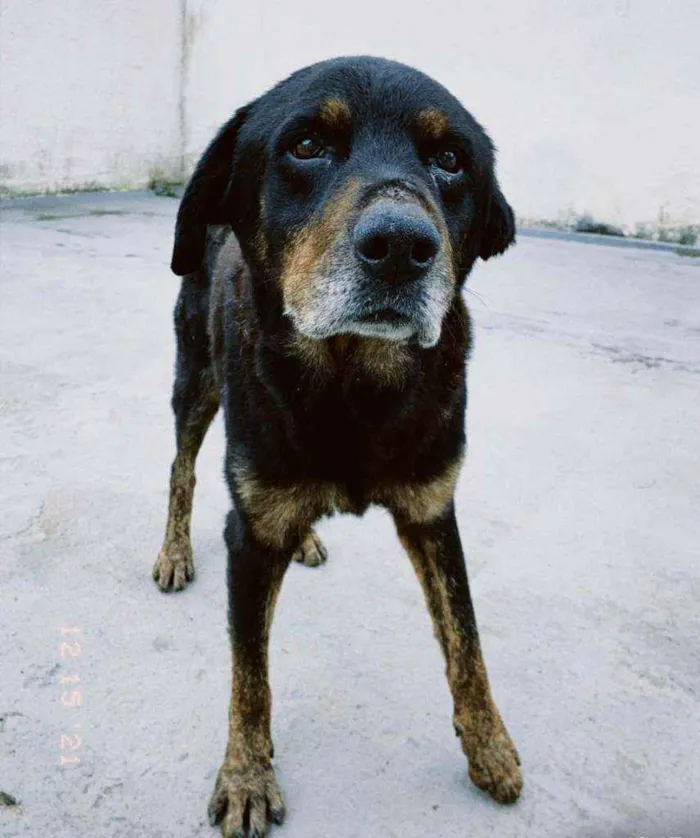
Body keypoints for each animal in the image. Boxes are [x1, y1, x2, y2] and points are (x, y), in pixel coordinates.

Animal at [153, 55, 524, 836]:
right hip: (194, 381)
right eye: (306, 146)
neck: (355, 385)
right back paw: (173, 550)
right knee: (180, 469)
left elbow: (466, 638)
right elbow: (250, 675)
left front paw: (489, 748)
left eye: (451, 160)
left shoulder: (433, 511)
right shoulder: (249, 534)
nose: (402, 247)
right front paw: (247, 775)